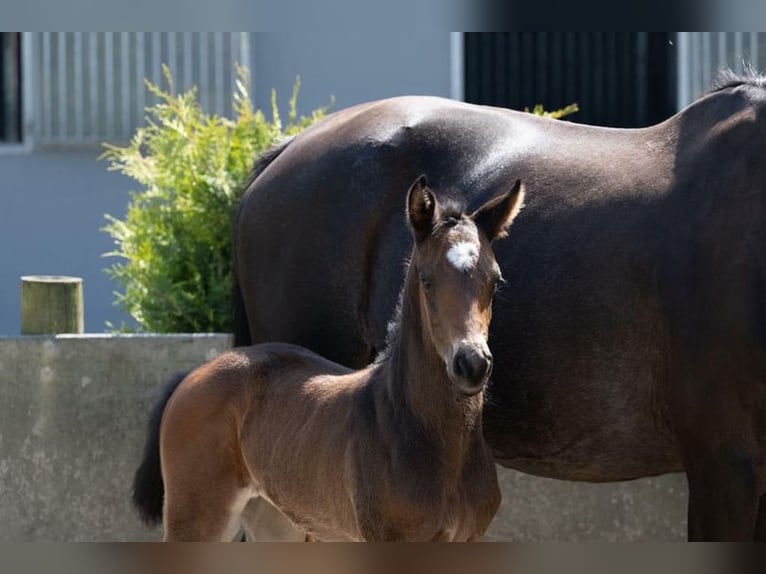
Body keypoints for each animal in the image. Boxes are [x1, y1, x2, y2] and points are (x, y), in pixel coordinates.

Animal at [132, 176, 525, 541]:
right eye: (427, 281)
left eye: (495, 281)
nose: (472, 364)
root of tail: (191, 376)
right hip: (196, 516)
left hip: (275, 519)